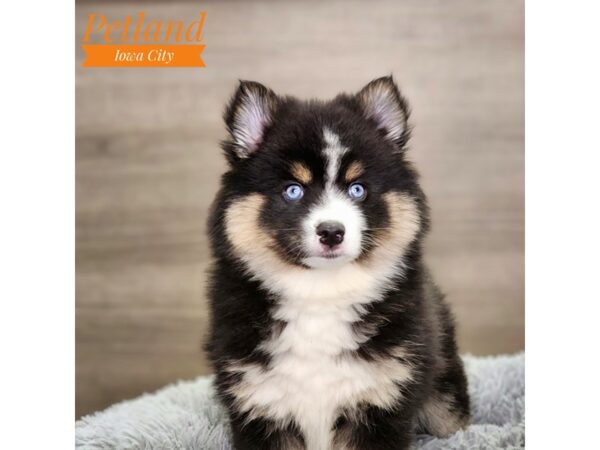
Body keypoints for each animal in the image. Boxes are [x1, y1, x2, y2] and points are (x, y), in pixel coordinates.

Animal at [205, 78, 468, 450]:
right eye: (293, 191)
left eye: (357, 189)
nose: (331, 231)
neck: (320, 294)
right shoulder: (259, 402)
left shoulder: (382, 399)